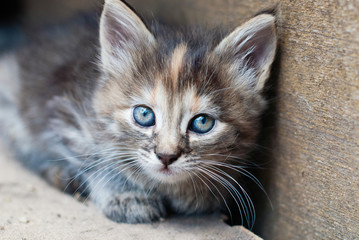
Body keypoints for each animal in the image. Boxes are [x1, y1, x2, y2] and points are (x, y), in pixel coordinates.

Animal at [0, 0, 278, 225]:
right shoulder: (65, 115)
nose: (166, 156)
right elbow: (97, 161)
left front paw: (200, 193)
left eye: (202, 122)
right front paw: (127, 196)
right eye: (144, 115)